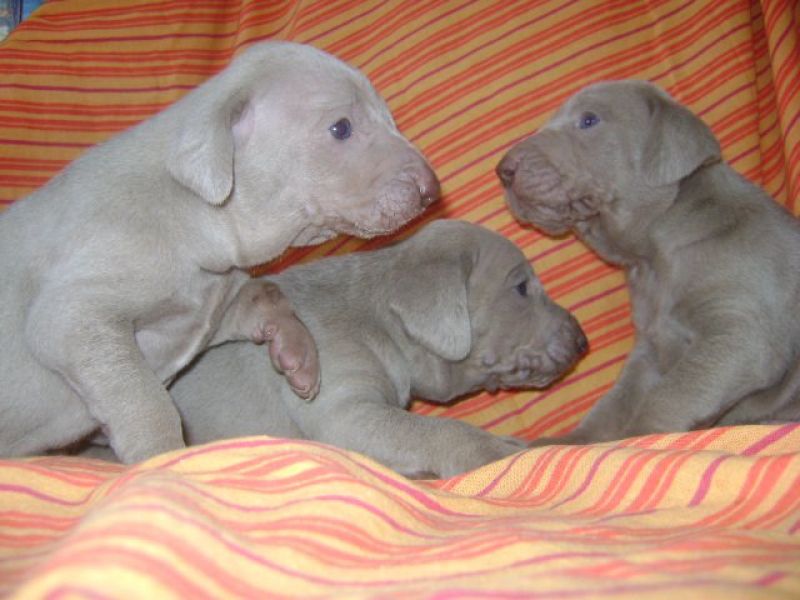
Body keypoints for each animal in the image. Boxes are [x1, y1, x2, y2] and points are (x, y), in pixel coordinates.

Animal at [0, 41, 438, 464]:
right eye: (341, 128)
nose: (432, 191)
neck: (192, 215)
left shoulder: (210, 306)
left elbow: (262, 295)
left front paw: (296, 354)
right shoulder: (74, 315)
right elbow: (145, 400)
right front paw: (161, 459)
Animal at [164, 220, 588, 478]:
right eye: (521, 287)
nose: (583, 341)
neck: (378, 324)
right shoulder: (345, 410)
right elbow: (438, 430)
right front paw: (502, 450)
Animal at [500, 81, 800, 446]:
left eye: (589, 120)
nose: (503, 170)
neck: (653, 259)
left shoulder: (742, 334)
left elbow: (670, 395)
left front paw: (641, 438)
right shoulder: (649, 347)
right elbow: (614, 403)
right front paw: (569, 443)